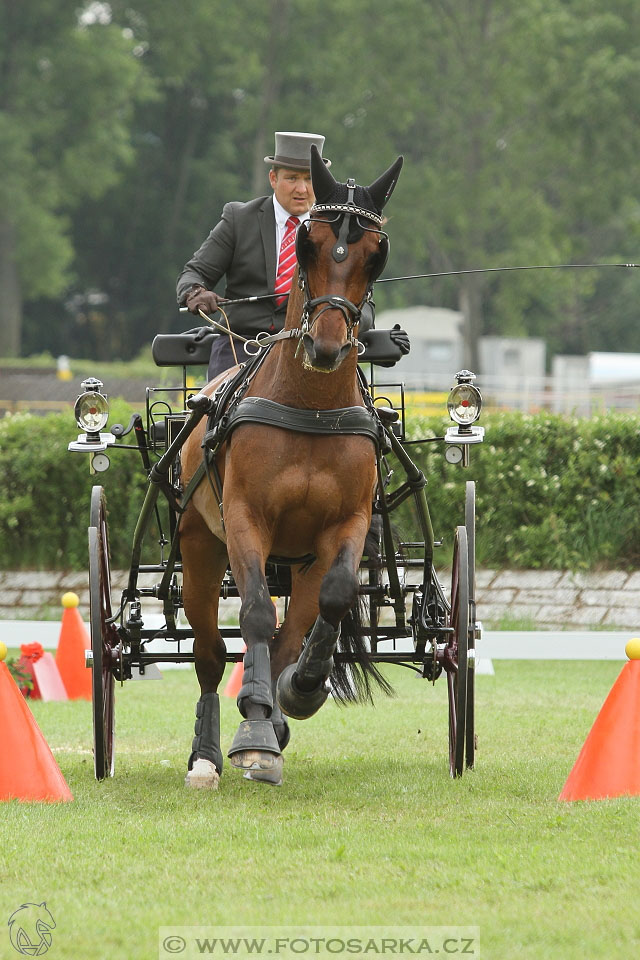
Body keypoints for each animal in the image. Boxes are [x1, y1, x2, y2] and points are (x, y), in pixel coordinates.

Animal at [178, 146, 402, 784]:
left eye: (376, 254)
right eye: (308, 243)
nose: (326, 346)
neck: (310, 408)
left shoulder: (345, 525)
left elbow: (333, 598)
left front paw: (297, 693)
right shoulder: (245, 519)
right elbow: (254, 615)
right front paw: (252, 729)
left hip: (299, 560)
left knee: (289, 629)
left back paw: (274, 713)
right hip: (199, 545)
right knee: (209, 653)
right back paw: (208, 755)